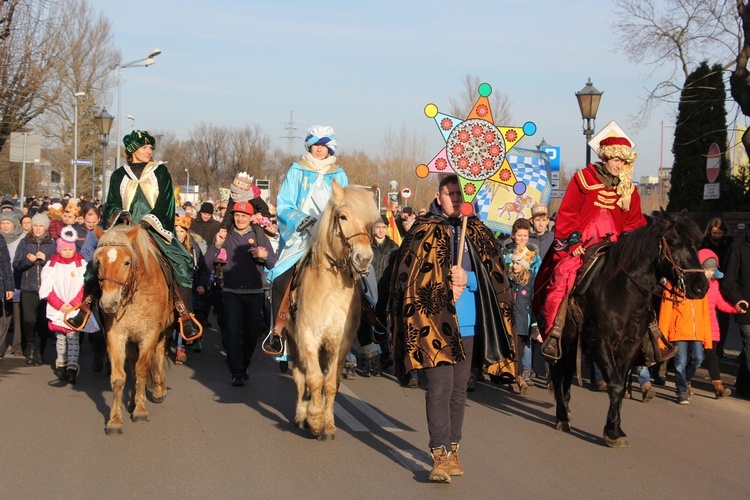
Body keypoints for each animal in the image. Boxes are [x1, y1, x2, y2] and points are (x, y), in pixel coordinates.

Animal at [92, 225, 174, 436]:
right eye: (99, 262)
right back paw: (131, 400)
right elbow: (119, 376)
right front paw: (115, 420)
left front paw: (141, 410)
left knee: (158, 353)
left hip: (164, 330)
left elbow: (142, 368)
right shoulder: (116, 335)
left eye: (127, 262)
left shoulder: (150, 332)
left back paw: (158, 389)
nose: (108, 303)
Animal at [288, 182, 382, 440]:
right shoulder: (307, 335)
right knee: (300, 376)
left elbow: (330, 382)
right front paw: (314, 419)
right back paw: (301, 414)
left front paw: (327, 424)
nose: (363, 258)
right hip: (293, 340)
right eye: (343, 216)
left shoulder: (341, 341)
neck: (330, 286)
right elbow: (313, 379)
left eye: (372, 223)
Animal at [548, 213, 712, 448]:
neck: (625, 291)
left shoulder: (631, 345)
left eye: (696, 245)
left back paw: (567, 412)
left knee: (568, 374)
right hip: (564, 342)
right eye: (674, 243)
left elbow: (620, 382)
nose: (701, 286)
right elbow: (615, 384)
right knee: (558, 372)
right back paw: (562, 417)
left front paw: (614, 429)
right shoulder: (601, 342)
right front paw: (612, 431)